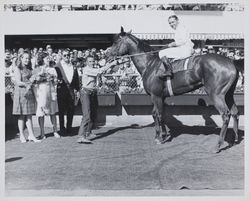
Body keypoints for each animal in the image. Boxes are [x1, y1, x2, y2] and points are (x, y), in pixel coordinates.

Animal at [107, 27, 238, 153]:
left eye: (116, 41)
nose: (107, 53)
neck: (150, 64)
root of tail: (231, 64)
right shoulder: (160, 96)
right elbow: (157, 114)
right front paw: (160, 135)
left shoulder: (156, 95)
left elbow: (158, 114)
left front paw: (161, 138)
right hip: (228, 94)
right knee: (235, 112)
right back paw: (235, 139)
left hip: (216, 94)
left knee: (225, 114)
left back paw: (218, 145)